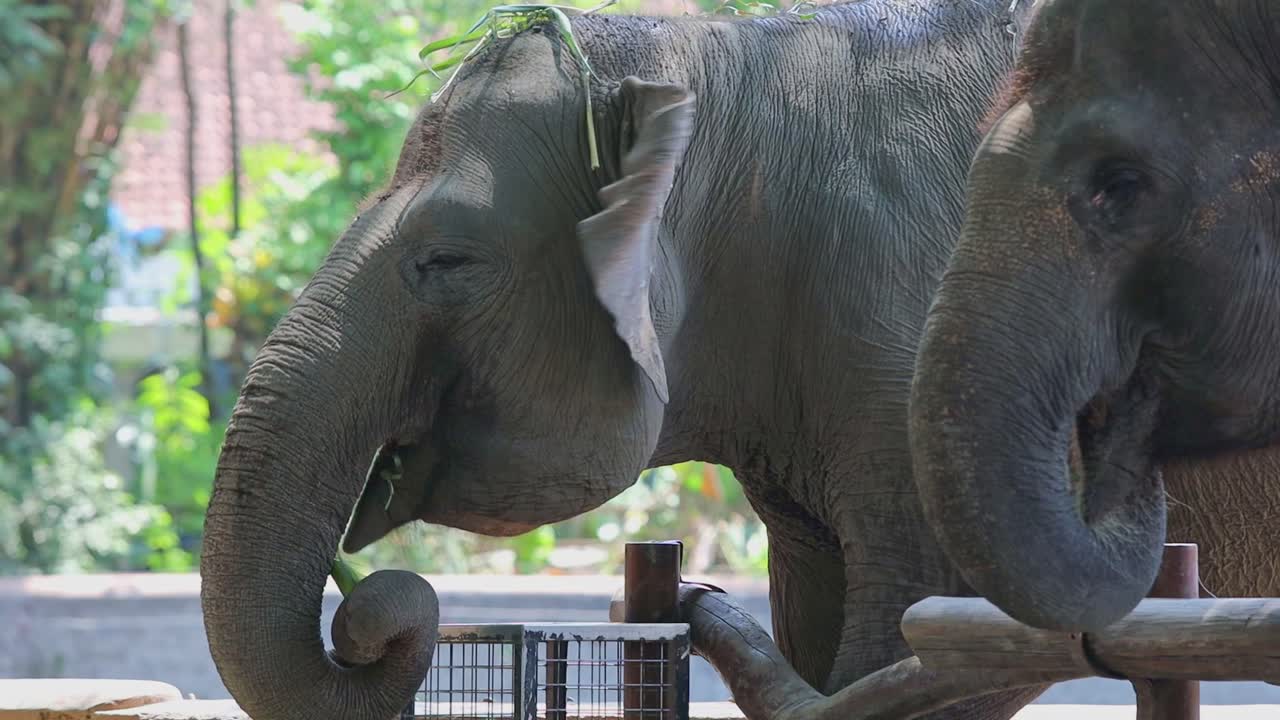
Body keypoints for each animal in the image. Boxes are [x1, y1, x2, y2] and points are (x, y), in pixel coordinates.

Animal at [200, 0, 1278, 718]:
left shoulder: (907, 321)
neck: (714, 63)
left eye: (447, 261)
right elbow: (820, 627)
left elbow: (921, 635)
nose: (365, 612)